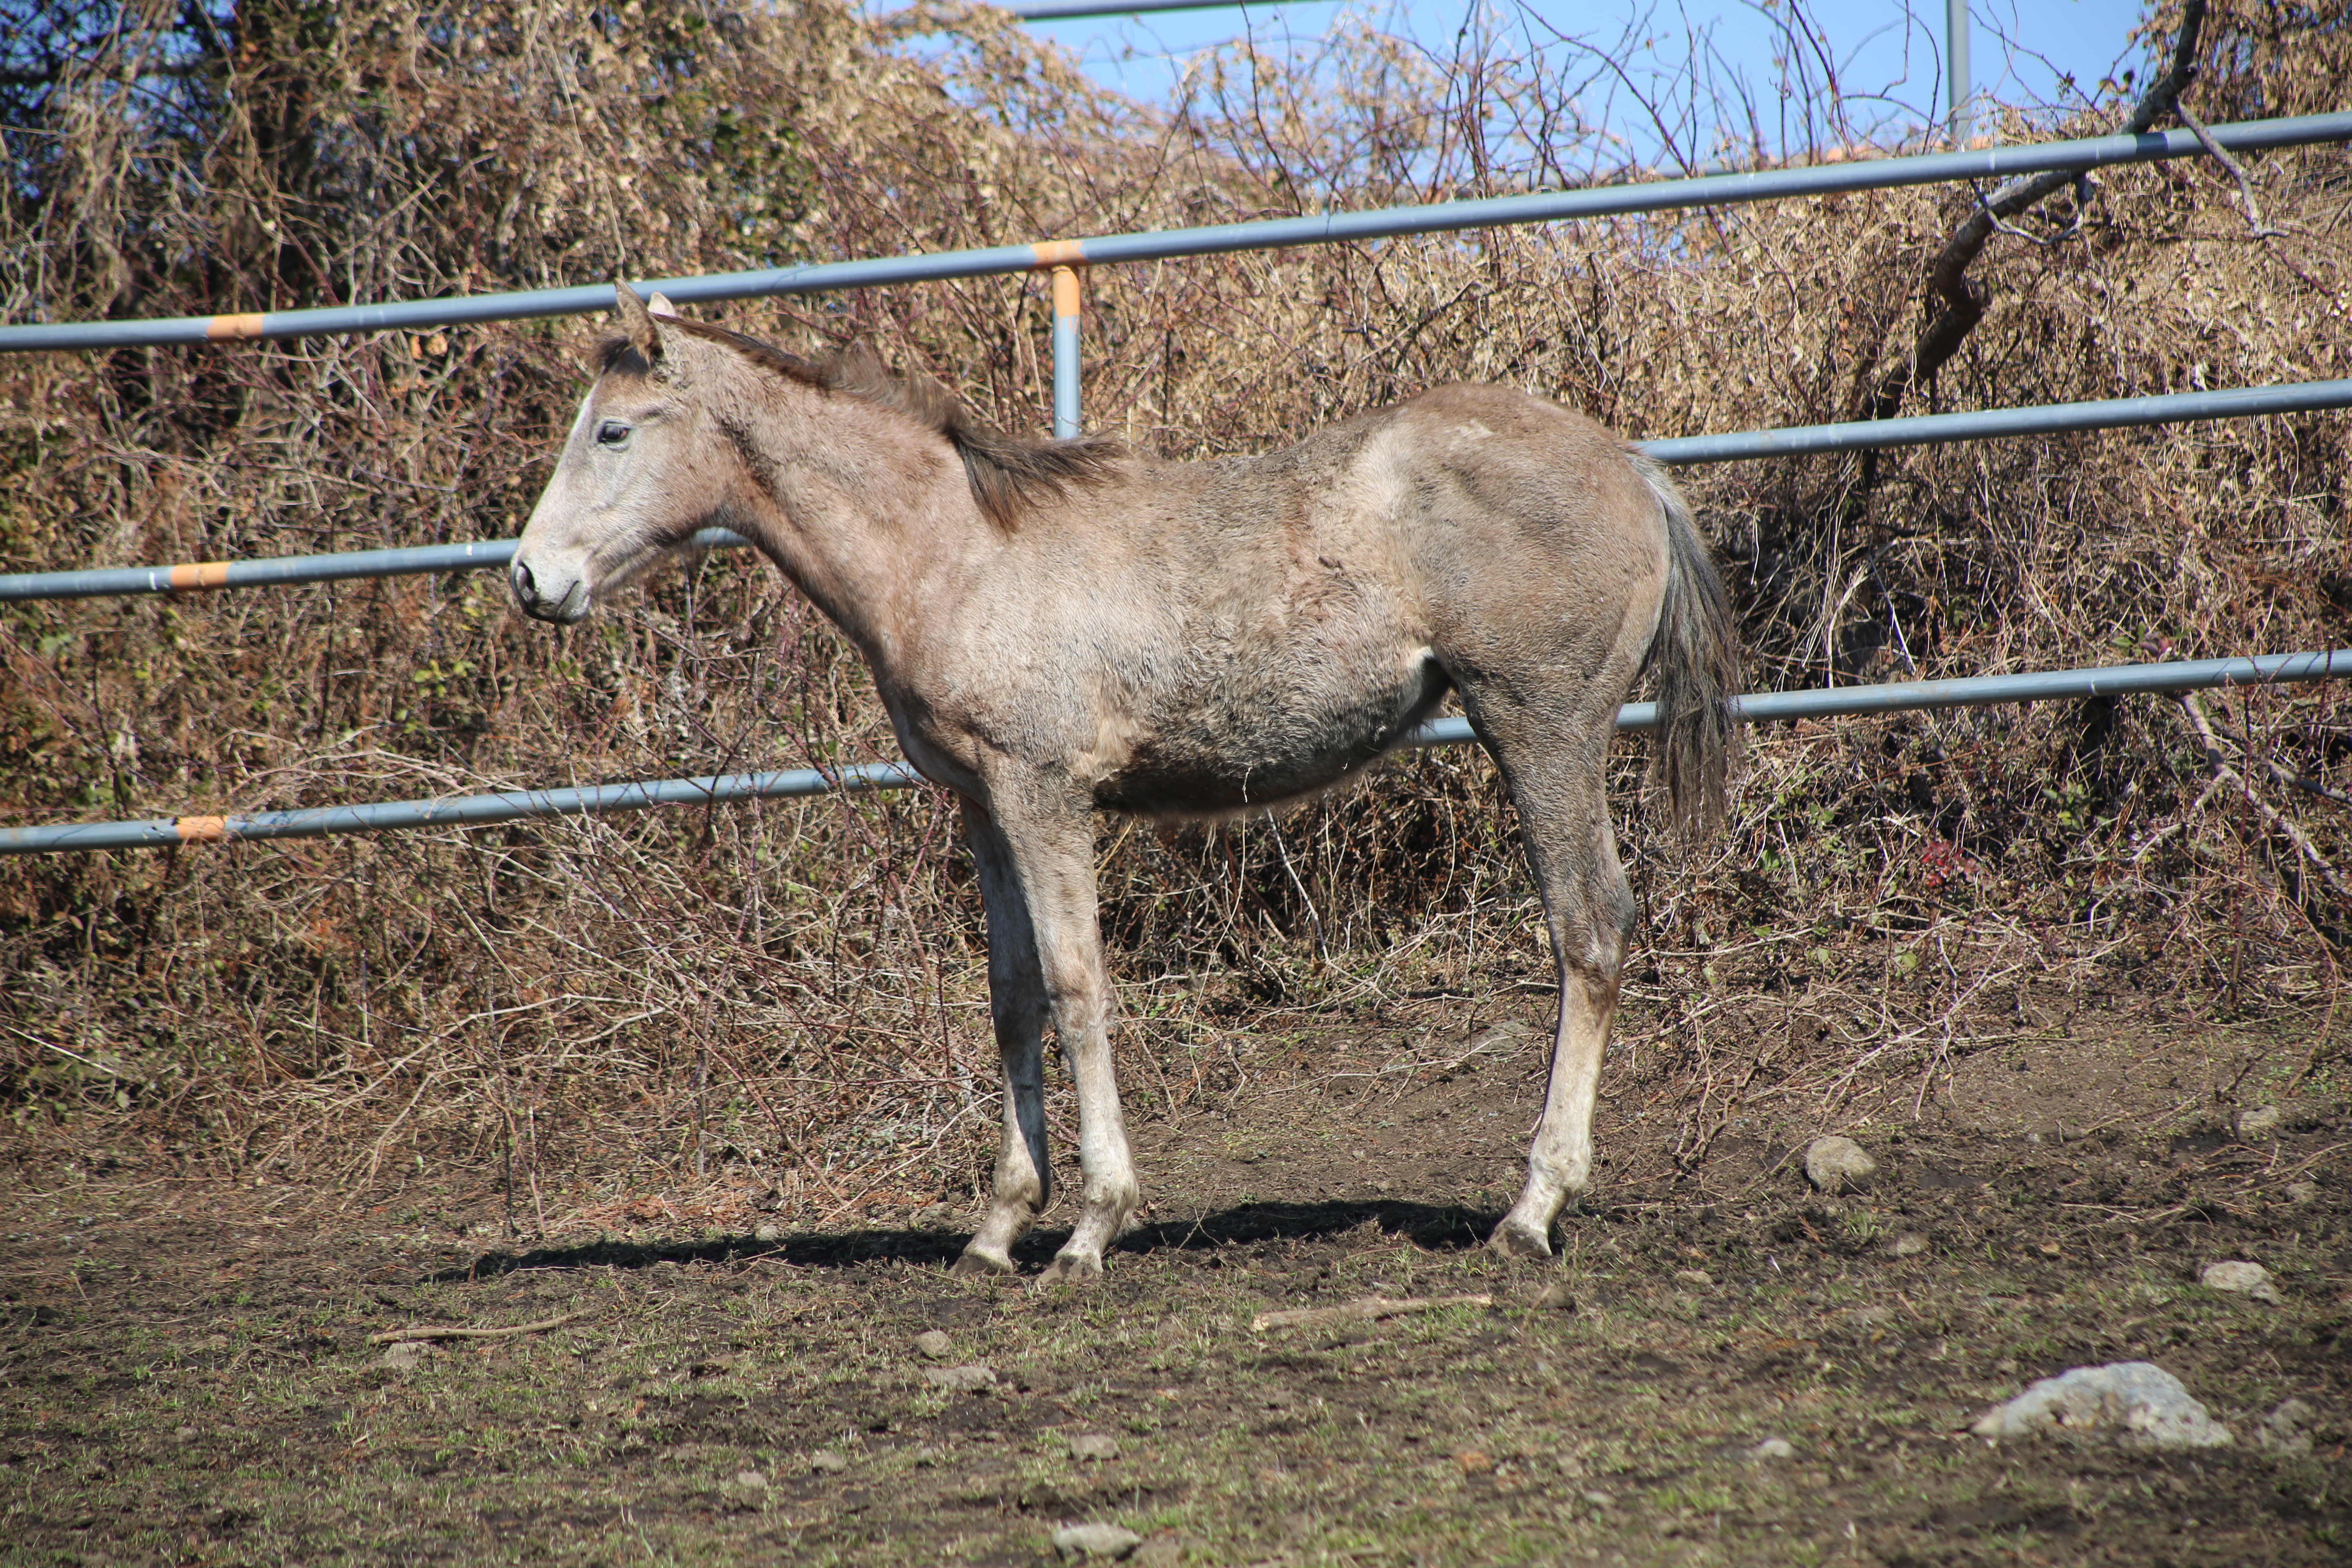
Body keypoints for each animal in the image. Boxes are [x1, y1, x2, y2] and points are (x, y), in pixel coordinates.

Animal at [515, 285, 1740, 1288]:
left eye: (612, 430)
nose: (531, 579)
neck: (956, 551)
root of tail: (1633, 468)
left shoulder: (1044, 793)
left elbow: (1076, 987)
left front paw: (1093, 1228)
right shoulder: (982, 806)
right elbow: (1011, 996)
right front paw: (999, 1227)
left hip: (1541, 729)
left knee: (1589, 926)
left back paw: (1531, 1211)